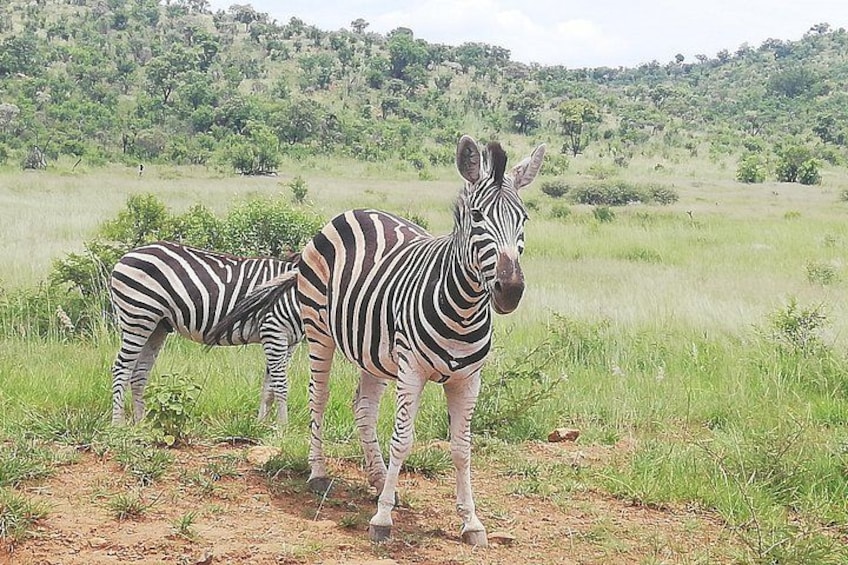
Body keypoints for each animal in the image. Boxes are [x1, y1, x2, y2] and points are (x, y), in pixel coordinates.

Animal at [108, 241, 303, 426]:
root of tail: (126, 256)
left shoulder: (288, 341)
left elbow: (269, 386)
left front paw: (262, 426)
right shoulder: (273, 331)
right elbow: (280, 384)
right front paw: (283, 428)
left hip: (156, 326)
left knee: (139, 373)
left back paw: (140, 424)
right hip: (138, 316)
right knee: (121, 367)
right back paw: (119, 425)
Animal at [209, 135, 545, 545]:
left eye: (523, 219)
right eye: (477, 216)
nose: (510, 290)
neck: (462, 308)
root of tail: (355, 211)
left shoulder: (469, 379)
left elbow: (462, 448)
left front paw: (471, 522)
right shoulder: (412, 371)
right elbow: (402, 440)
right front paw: (382, 518)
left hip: (374, 352)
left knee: (363, 408)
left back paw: (378, 478)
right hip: (319, 330)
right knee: (318, 397)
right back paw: (319, 473)